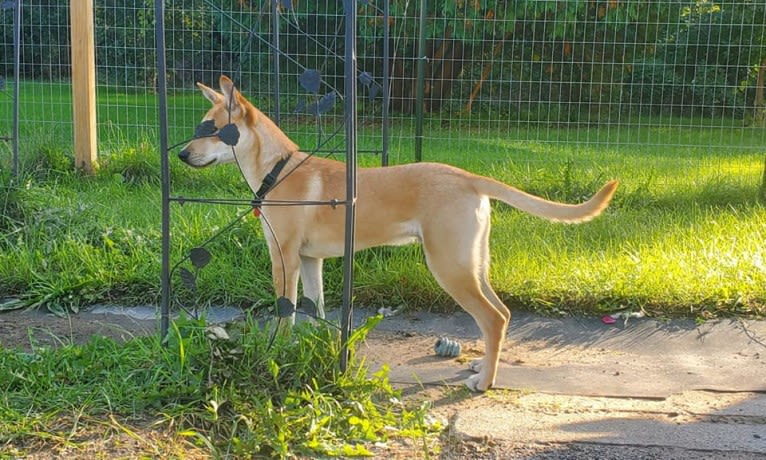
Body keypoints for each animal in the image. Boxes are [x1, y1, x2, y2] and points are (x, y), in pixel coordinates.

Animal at [178, 75, 616, 392]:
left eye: (215, 130)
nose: (181, 155)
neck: (277, 169)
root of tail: (468, 178)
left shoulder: (284, 258)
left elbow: (286, 312)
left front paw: (280, 350)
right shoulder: (310, 260)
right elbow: (315, 310)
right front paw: (314, 348)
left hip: (449, 267)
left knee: (492, 318)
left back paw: (484, 381)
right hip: (473, 264)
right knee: (502, 314)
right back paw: (483, 364)